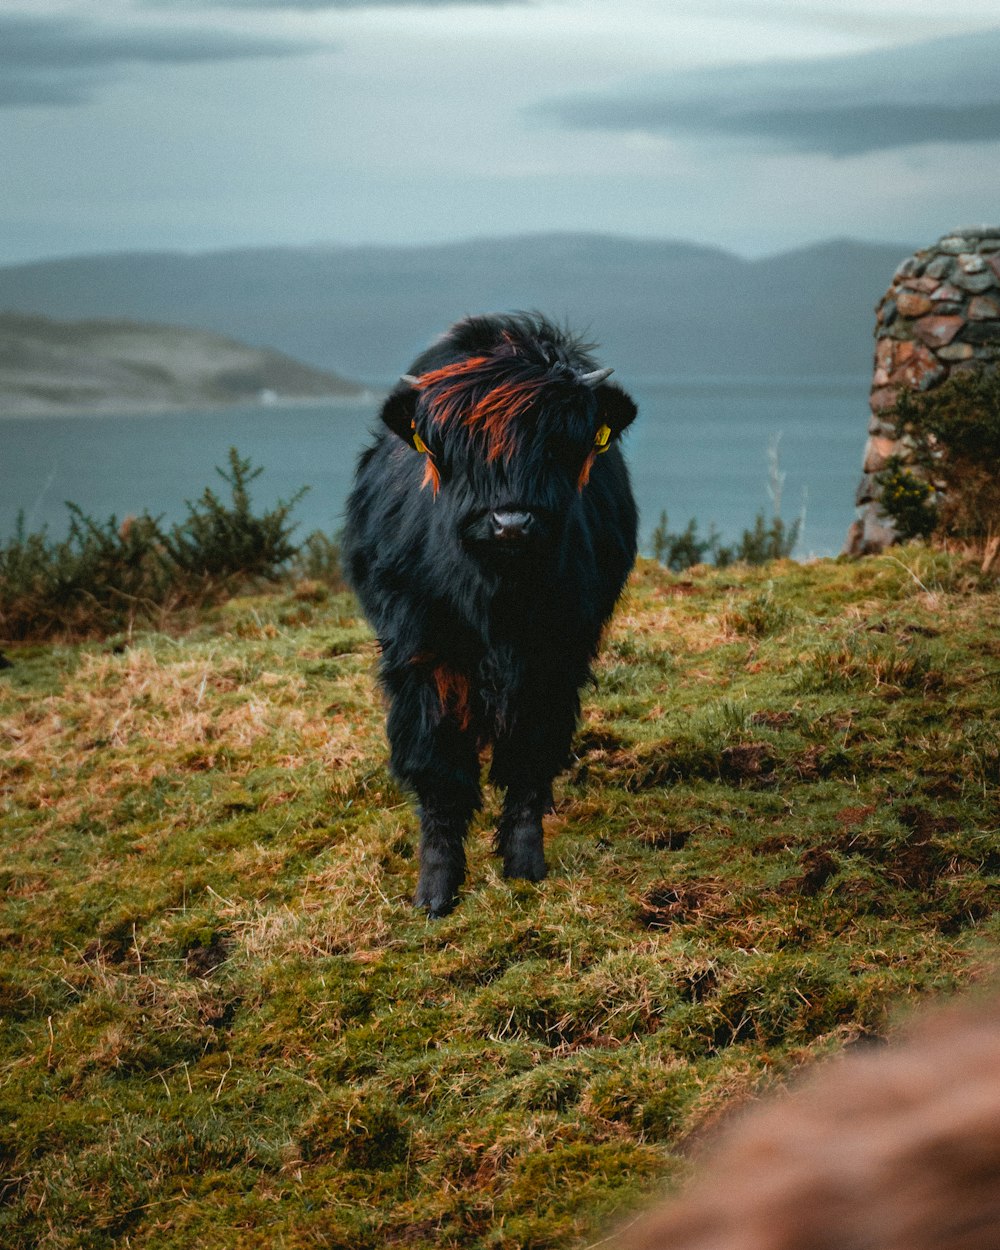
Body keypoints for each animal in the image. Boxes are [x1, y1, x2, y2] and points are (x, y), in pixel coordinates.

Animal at [345, 315, 640, 920]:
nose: (511, 522)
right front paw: (436, 891)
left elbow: (530, 754)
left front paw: (525, 865)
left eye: (558, 444)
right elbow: (438, 765)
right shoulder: (423, 654)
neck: (498, 597)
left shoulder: (555, 658)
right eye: (462, 449)